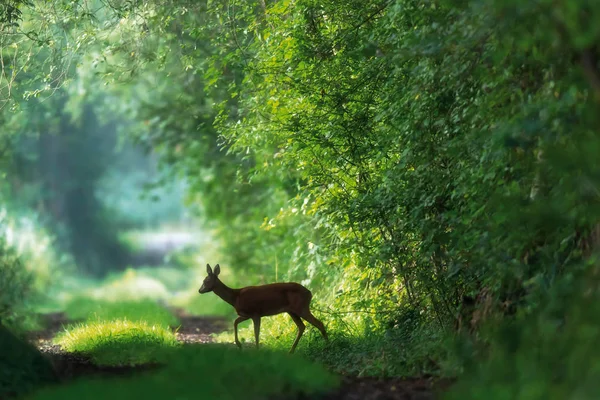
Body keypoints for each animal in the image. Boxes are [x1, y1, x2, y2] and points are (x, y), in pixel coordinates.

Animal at [198, 262, 328, 354]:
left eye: (206, 280)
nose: (200, 290)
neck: (235, 298)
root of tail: (310, 293)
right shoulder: (247, 314)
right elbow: (235, 322)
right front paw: (239, 345)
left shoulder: (255, 312)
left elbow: (256, 332)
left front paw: (256, 349)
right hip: (292, 311)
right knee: (302, 326)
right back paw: (291, 352)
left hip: (301, 307)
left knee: (319, 323)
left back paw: (328, 346)